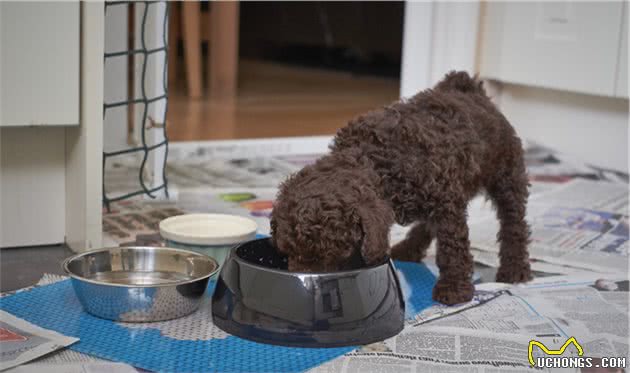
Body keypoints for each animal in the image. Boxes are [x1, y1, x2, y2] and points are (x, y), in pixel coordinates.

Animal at [272, 71, 532, 304]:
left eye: (335, 254)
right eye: (288, 251)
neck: (374, 159)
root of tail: (470, 90)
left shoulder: (446, 203)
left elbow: (452, 248)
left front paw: (454, 288)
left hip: (506, 173)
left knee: (514, 223)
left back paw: (514, 268)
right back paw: (409, 249)